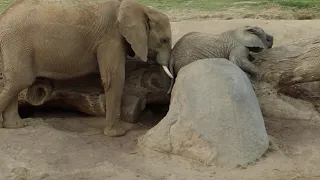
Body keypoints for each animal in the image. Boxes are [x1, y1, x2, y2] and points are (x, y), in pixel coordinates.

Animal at [0, 0, 174, 136]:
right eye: (164, 40)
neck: (141, 7)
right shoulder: (111, 37)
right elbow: (114, 78)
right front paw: (117, 133)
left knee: (14, 83)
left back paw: (16, 126)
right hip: (17, 43)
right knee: (21, 81)